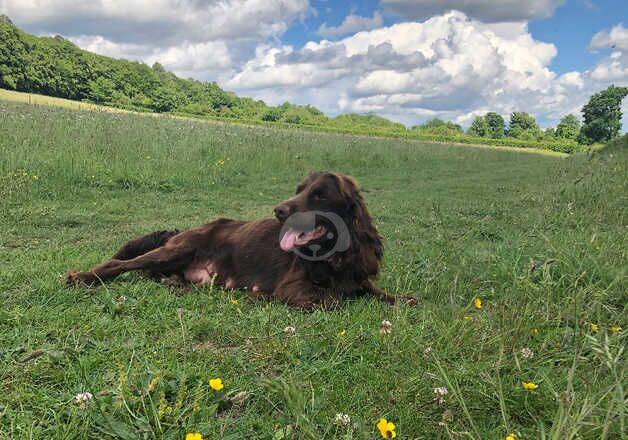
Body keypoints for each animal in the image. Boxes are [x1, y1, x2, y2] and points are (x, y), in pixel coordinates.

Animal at [65, 170, 418, 308]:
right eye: (298, 189)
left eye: (319, 195)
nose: (278, 211)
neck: (334, 255)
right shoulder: (293, 287)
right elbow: (334, 299)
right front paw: (261, 296)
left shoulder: (358, 274)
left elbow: (376, 291)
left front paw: (401, 298)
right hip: (176, 249)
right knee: (121, 264)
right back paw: (82, 276)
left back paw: (175, 283)